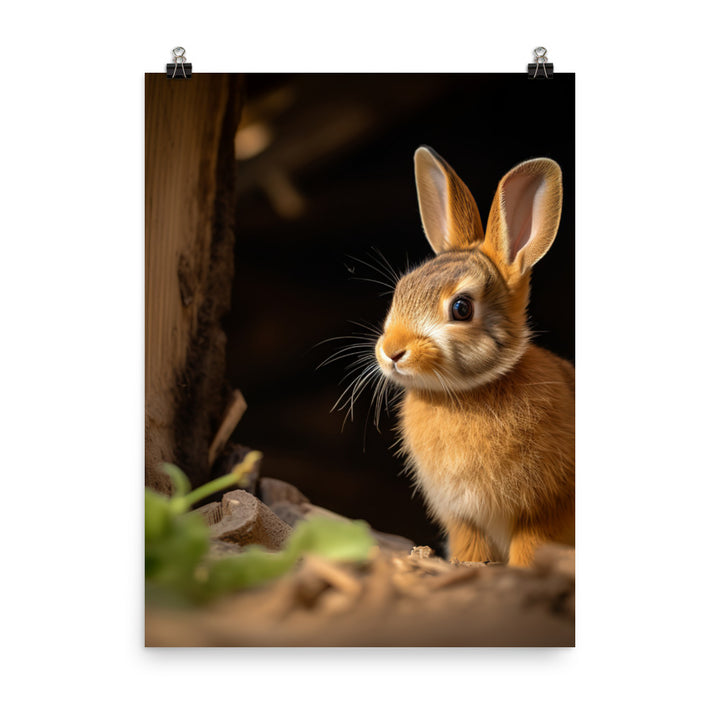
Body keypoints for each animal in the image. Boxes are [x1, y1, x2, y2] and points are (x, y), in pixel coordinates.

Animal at [374, 146, 574, 567]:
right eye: (402, 290)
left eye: (461, 308)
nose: (391, 352)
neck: (466, 393)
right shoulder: (463, 518)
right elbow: (470, 547)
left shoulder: (545, 510)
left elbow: (531, 545)